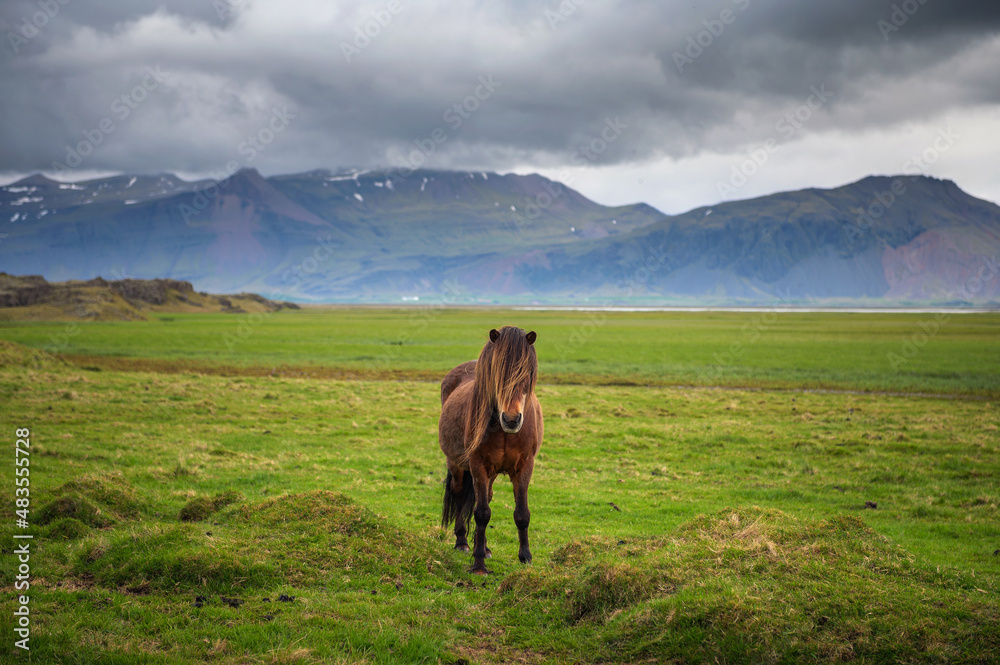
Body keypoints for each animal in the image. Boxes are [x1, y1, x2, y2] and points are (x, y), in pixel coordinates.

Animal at [438, 326, 543, 575]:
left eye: (526, 374)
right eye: (496, 374)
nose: (512, 419)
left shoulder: (525, 466)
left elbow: (522, 514)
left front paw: (526, 558)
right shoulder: (478, 465)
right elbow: (481, 513)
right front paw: (478, 565)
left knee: (485, 497)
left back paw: (484, 547)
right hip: (457, 465)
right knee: (460, 494)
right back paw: (462, 543)